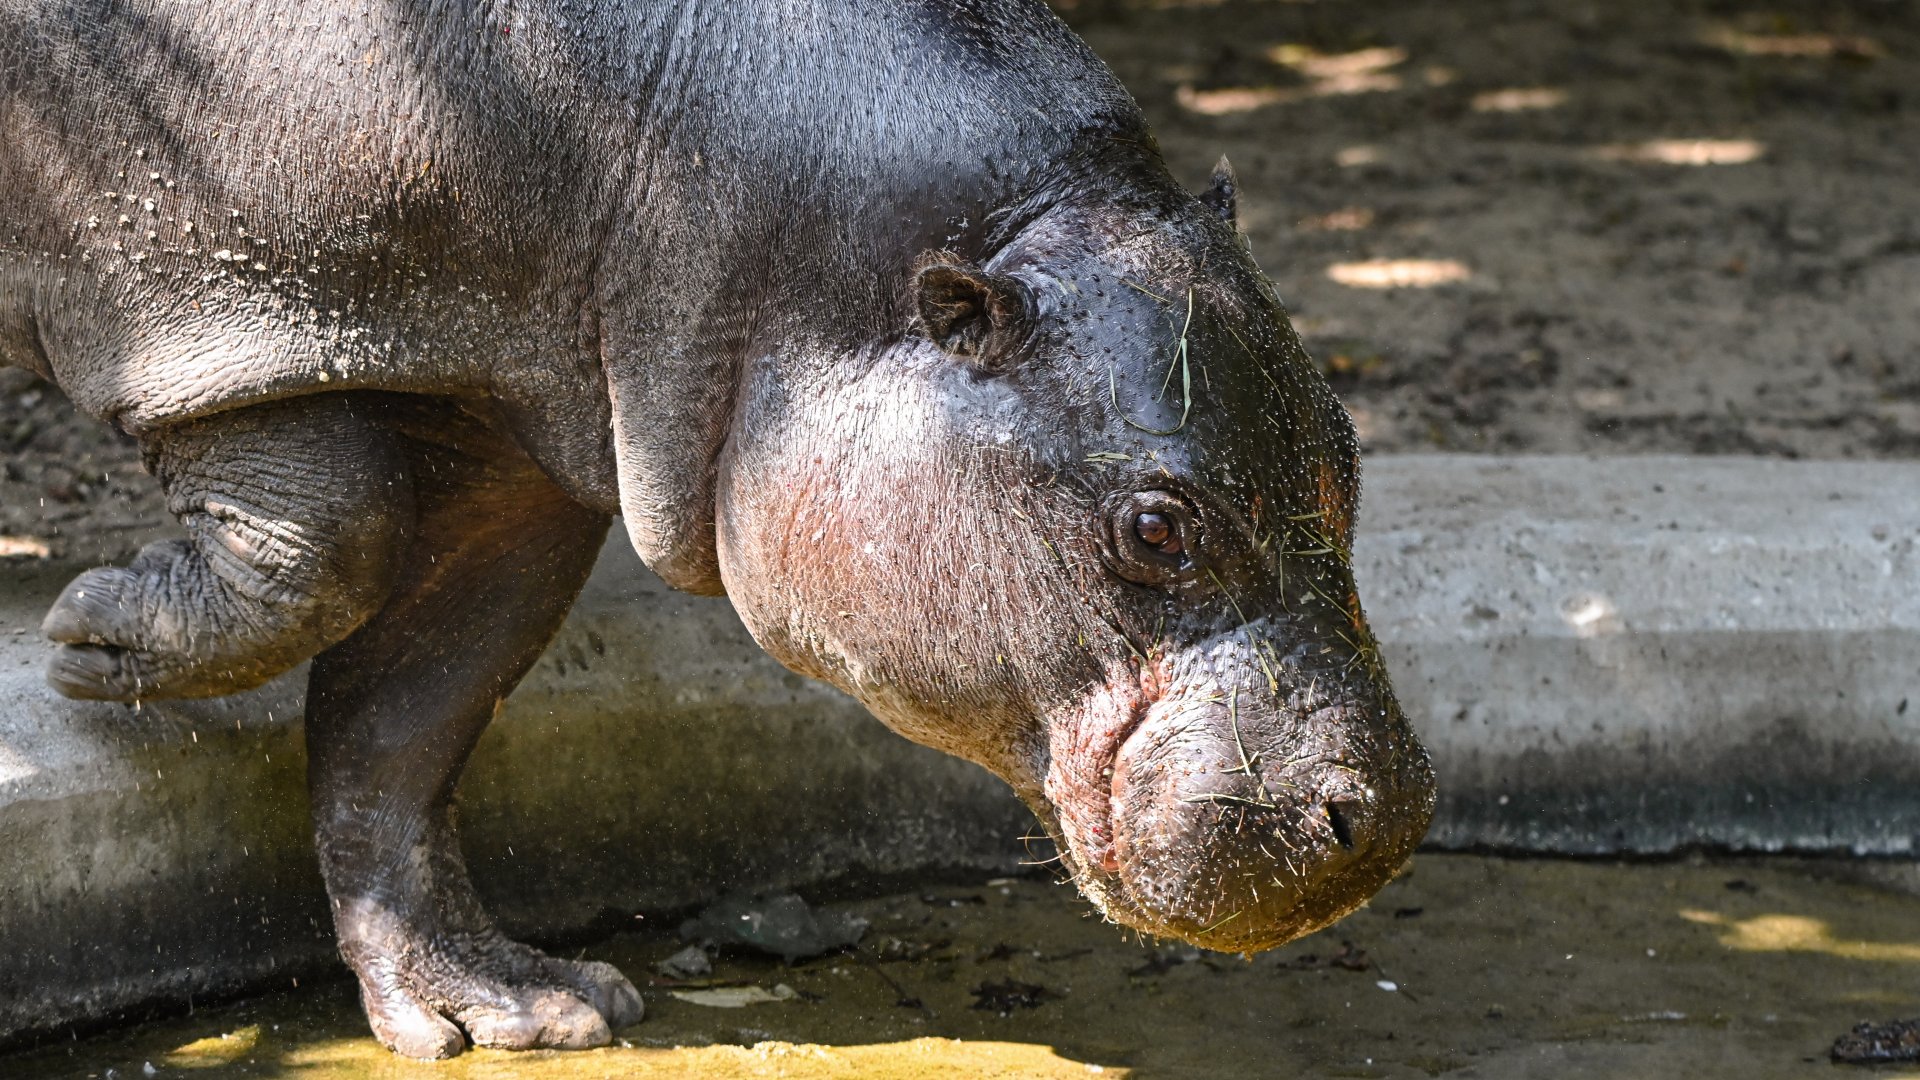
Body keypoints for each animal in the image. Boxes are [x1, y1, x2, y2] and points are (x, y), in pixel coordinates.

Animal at [0, 0, 1435, 1059]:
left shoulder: (520, 433)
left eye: (1348, 449)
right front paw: (89, 640)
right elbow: (333, 543)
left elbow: (408, 714)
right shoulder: (212, 309)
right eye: (1154, 529)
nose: (1387, 813)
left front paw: (520, 1013)